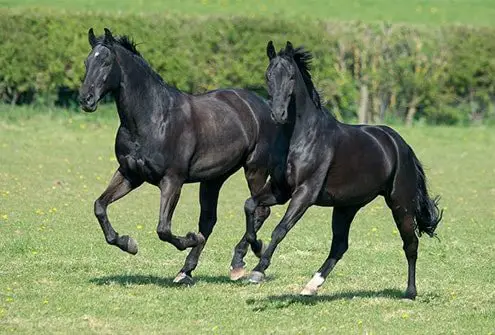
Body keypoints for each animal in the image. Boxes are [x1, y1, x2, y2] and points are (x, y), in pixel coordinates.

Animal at [78, 28, 286, 284]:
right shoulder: (130, 174)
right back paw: (186, 270)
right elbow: (100, 206)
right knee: (209, 220)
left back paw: (241, 260)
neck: (152, 118)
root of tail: (264, 105)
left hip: (255, 169)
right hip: (214, 178)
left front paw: (188, 239)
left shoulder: (172, 180)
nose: (85, 99)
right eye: (87, 62)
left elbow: (163, 229)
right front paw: (128, 243)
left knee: (260, 210)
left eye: (106, 62)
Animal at [246, 40, 444, 300]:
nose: (278, 114)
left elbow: (280, 229)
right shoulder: (280, 190)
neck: (301, 137)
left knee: (410, 243)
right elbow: (250, 205)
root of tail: (401, 145)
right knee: (340, 246)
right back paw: (311, 286)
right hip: (346, 206)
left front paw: (258, 270)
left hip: (400, 204)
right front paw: (255, 247)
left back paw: (410, 292)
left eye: (291, 76)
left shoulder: (305, 193)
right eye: (268, 75)